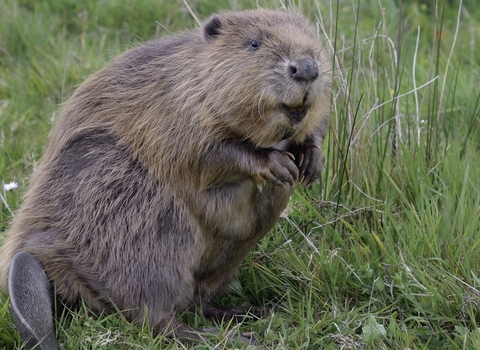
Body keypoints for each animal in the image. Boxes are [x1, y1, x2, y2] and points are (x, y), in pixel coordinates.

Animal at [0, 8, 330, 348]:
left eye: (312, 38)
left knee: (198, 299)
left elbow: (317, 123)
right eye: (254, 43)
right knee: (153, 315)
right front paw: (278, 164)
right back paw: (231, 335)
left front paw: (311, 161)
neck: (190, 74)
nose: (306, 68)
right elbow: (207, 152)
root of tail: (31, 256)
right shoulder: (174, 105)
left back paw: (251, 310)